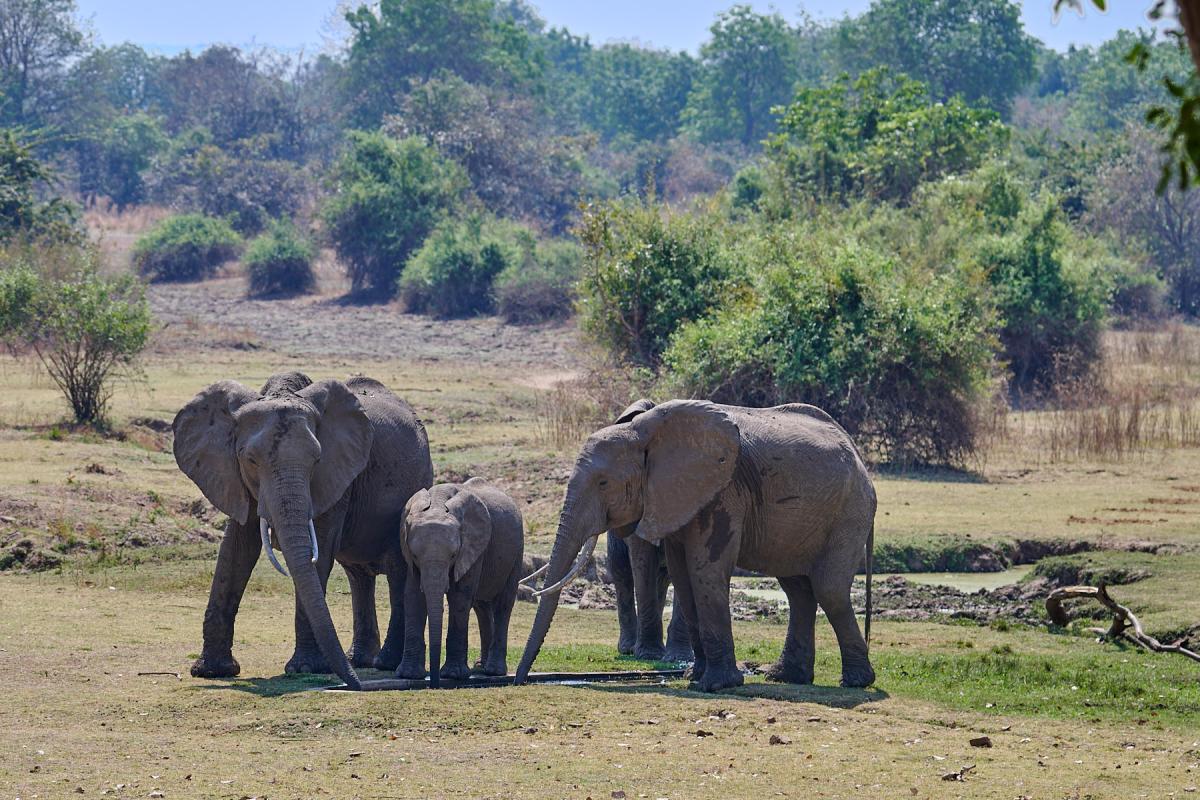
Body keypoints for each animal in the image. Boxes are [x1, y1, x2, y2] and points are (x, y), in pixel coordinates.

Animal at [173, 372, 433, 690]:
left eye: (316, 460)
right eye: (250, 460)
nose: (355, 685)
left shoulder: (336, 476)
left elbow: (318, 545)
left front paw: (306, 668)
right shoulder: (234, 477)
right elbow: (236, 549)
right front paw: (211, 671)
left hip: (416, 485)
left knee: (396, 569)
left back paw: (385, 663)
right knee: (358, 575)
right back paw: (358, 660)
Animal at [396, 478, 524, 687]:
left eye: (453, 555)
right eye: (414, 555)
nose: (434, 683)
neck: (437, 503)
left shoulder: (473, 546)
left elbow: (459, 597)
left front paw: (453, 675)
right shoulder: (408, 557)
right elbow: (413, 596)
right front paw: (409, 675)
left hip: (517, 552)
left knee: (503, 604)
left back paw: (493, 670)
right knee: (481, 606)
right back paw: (480, 666)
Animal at [516, 398, 876, 693]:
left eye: (603, 483)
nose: (519, 679)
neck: (642, 433)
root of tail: (858, 455)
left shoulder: (723, 491)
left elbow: (705, 570)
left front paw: (716, 685)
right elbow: (683, 575)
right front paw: (694, 678)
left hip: (849, 511)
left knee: (828, 588)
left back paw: (855, 682)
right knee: (798, 590)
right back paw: (786, 677)